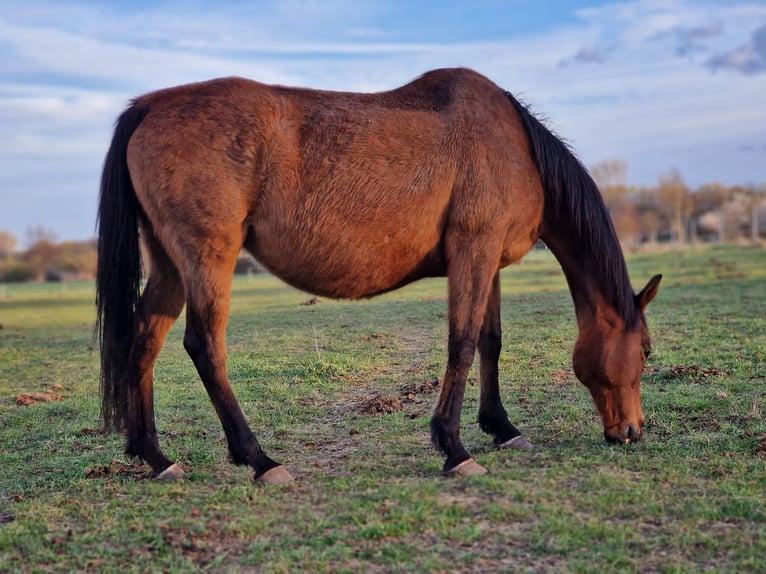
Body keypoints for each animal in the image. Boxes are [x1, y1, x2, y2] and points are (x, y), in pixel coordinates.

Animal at [96, 67, 661, 483]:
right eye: (646, 350)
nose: (632, 431)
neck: (516, 148)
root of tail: (152, 105)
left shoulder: (488, 258)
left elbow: (490, 341)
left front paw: (501, 428)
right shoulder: (473, 250)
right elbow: (461, 343)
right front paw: (454, 448)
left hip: (170, 265)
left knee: (145, 342)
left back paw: (156, 457)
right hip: (208, 258)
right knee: (204, 346)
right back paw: (259, 459)